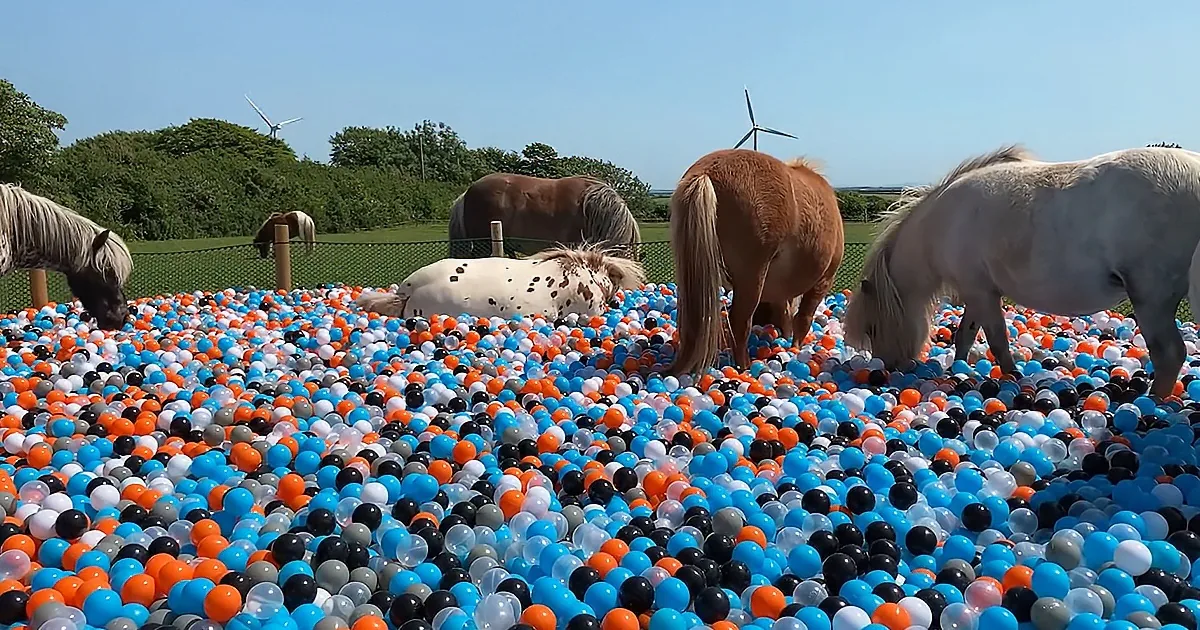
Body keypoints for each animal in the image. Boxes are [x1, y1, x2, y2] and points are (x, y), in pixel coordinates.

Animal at [668, 149, 844, 374]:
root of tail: (705, 173)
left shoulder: (780, 289)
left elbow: (785, 314)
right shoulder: (823, 280)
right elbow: (802, 319)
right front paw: (796, 348)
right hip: (752, 276)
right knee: (739, 321)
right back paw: (744, 366)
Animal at [844, 144, 1200, 399]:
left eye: (873, 328)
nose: (888, 368)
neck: (943, 221)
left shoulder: (981, 292)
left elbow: (997, 340)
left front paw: (1012, 376)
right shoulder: (977, 292)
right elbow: (965, 335)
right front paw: (959, 369)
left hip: (1151, 298)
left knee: (1170, 354)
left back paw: (1151, 404)